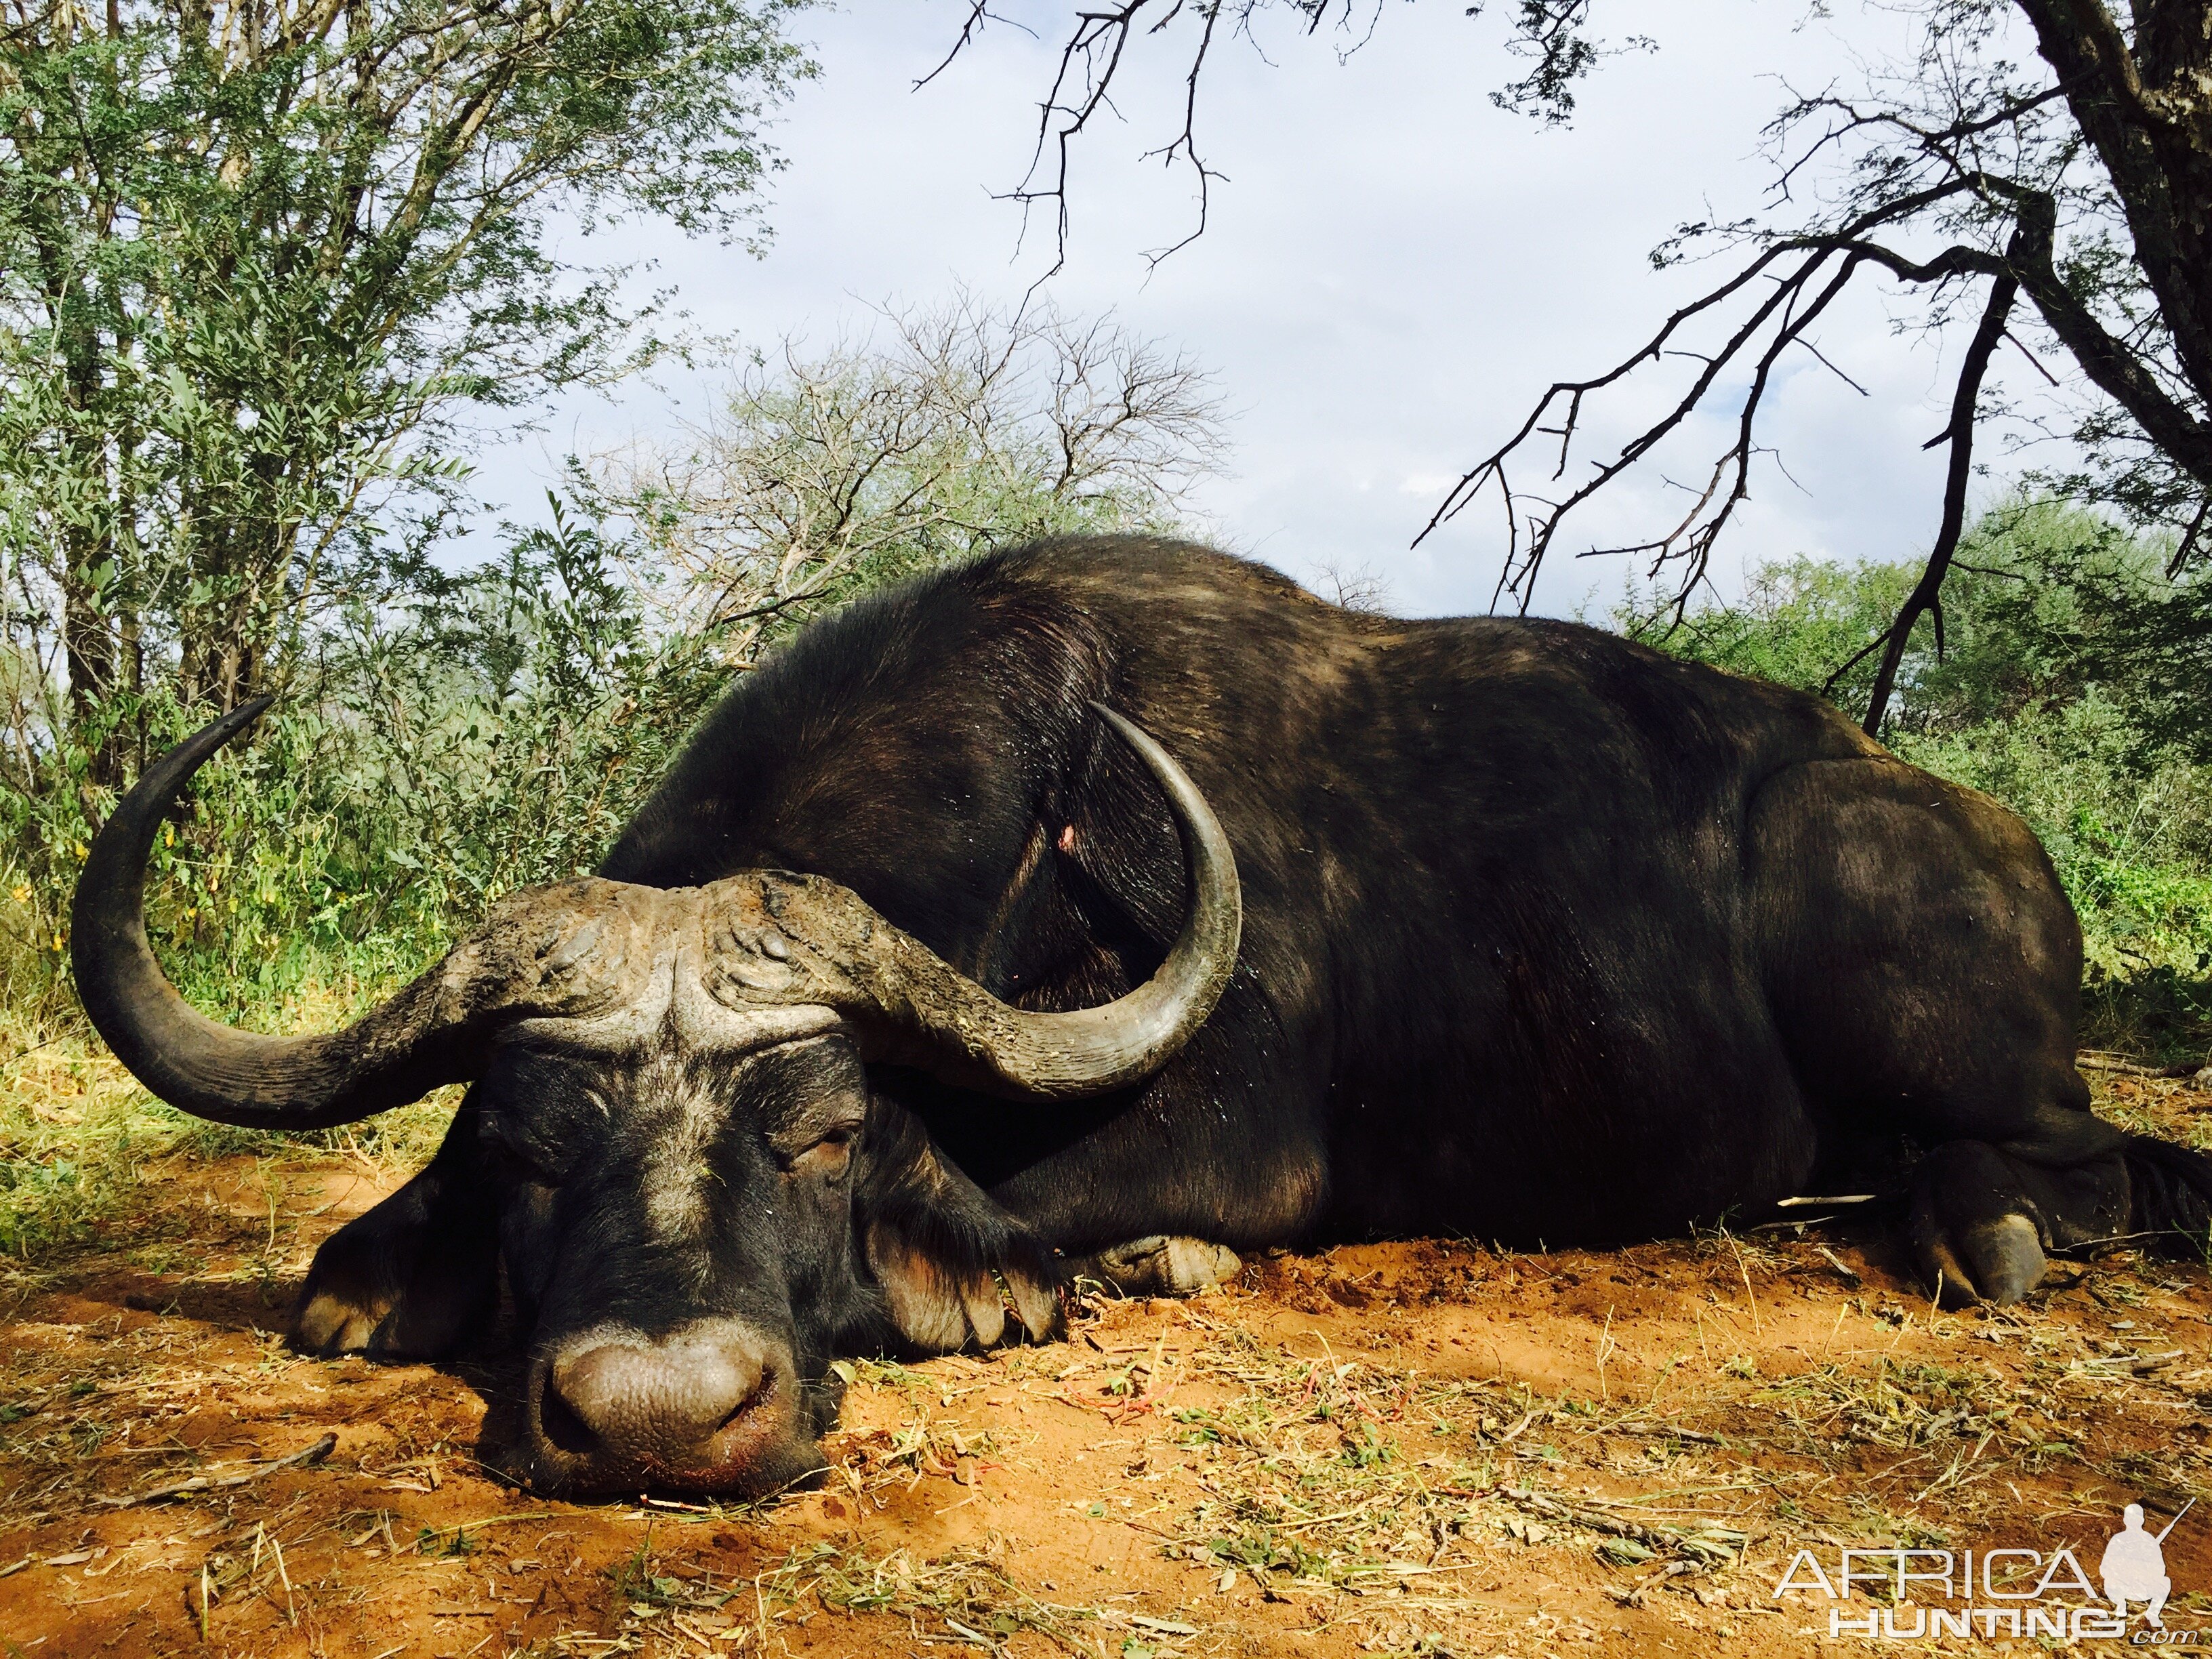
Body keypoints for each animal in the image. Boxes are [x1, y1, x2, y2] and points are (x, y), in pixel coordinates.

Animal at [69, 539, 2212, 1504]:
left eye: (822, 1135)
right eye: (522, 1152)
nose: (664, 1417)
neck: (1053, 838)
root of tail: (1976, 823)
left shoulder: (1225, 1147)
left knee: (2080, 1161)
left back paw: (1979, 1227)